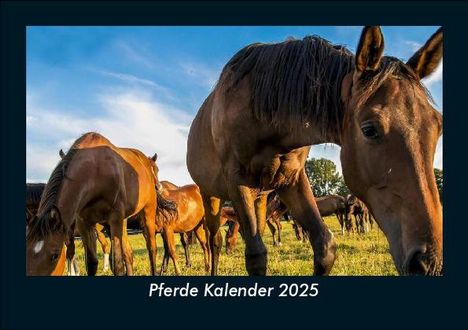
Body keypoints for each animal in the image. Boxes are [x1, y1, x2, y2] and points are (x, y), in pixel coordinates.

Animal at [27, 132, 165, 276]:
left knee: (151, 248)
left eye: (55, 255)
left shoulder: (115, 219)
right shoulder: (83, 223)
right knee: (128, 252)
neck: (96, 171)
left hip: (148, 211)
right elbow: (91, 262)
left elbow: (117, 265)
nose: (159, 187)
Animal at [187, 26, 442, 276]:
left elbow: (324, 247)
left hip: (259, 197)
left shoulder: (292, 180)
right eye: (369, 130)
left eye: (438, 126)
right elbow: (256, 257)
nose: (428, 262)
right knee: (214, 240)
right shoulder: (237, 182)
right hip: (211, 197)